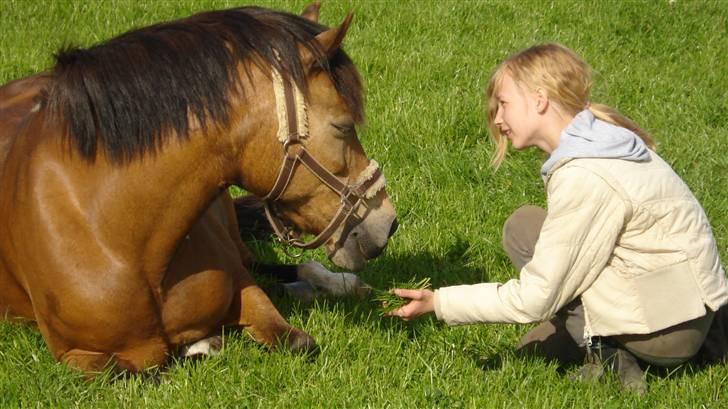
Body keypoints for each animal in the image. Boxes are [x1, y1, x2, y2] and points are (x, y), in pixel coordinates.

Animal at [0, 3, 396, 374]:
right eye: (343, 126)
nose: (388, 222)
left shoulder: (244, 289)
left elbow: (296, 339)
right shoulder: (75, 356)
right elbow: (138, 370)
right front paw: (202, 343)